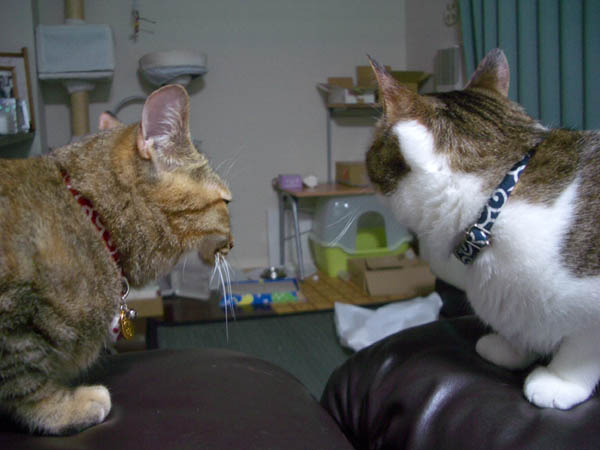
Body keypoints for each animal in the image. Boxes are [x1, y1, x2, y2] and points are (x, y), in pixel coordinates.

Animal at [0, 84, 233, 434]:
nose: (233, 243)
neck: (91, 216)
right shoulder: (12, 314)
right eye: (226, 202)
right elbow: (25, 379)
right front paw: (62, 409)